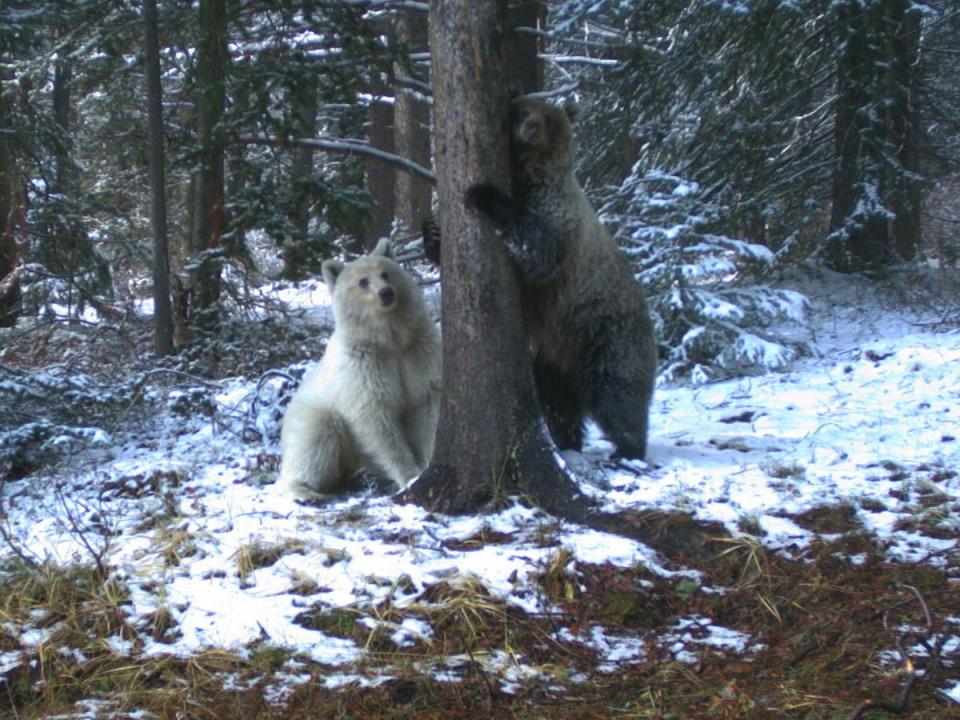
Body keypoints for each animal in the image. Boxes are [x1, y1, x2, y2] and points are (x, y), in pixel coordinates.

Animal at [278, 239, 442, 498]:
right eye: (363, 281)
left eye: (386, 273)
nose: (386, 293)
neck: (389, 341)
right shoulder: (364, 366)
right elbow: (376, 418)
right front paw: (410, 476)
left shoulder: (419, 352)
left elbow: (426, 405)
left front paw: (427, 463)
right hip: (312, 412)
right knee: (314, 439)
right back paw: (305, 491)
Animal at [464, 94, 660, 462]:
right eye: (523, 110)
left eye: (548, 117)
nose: (530, 127)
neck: (528, 173)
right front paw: (432, 233)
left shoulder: (556, 213)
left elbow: (538, 251)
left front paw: (483, 195)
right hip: (555, 359)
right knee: (558, 404)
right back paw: (567, 441)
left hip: (606, 334)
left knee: (617, 393)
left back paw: (628, 447)